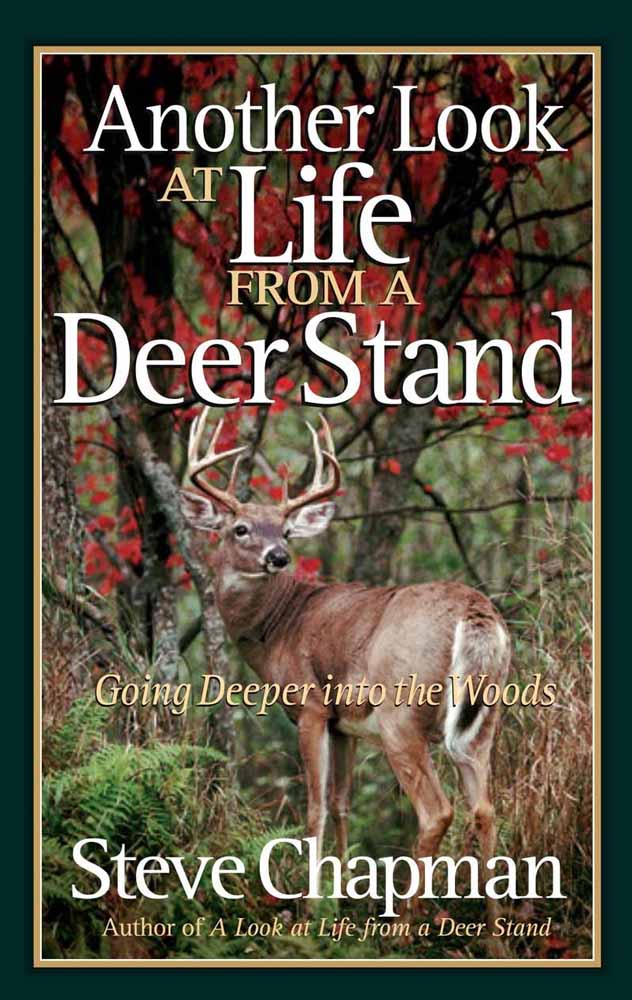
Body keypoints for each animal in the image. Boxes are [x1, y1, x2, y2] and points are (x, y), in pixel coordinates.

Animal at [181, 408, 511, 933]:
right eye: (241, 528)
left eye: (286, 531)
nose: (279, 556)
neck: (278, 626)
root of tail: (475, 613)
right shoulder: (346, 725)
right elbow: (341, 803)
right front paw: (343, 899)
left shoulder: (312, 707)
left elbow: (314, 808)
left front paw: (309, 908)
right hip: (485, 718)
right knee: (485, 808)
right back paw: (495, 931)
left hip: (402, 714)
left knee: (437, 811)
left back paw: (402, 927)